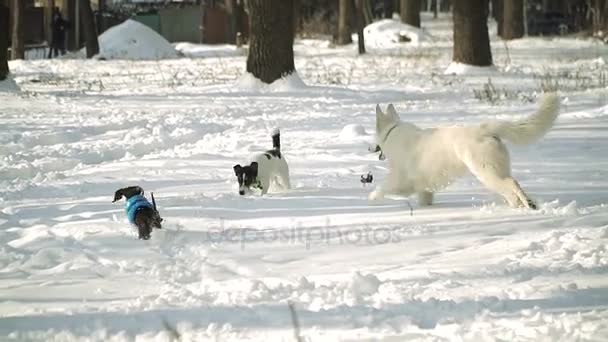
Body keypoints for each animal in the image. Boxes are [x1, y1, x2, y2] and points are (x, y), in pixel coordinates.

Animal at [368, 93, 560, 208]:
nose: (368, 147)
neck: (392, 132)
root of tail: (483, 130)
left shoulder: (400, 181)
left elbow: (381, 188)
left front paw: (371, 200)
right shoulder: (424, 188)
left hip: (486, 173)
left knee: (512, 184)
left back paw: (526, 204)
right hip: (496, 171)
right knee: (511, 190)